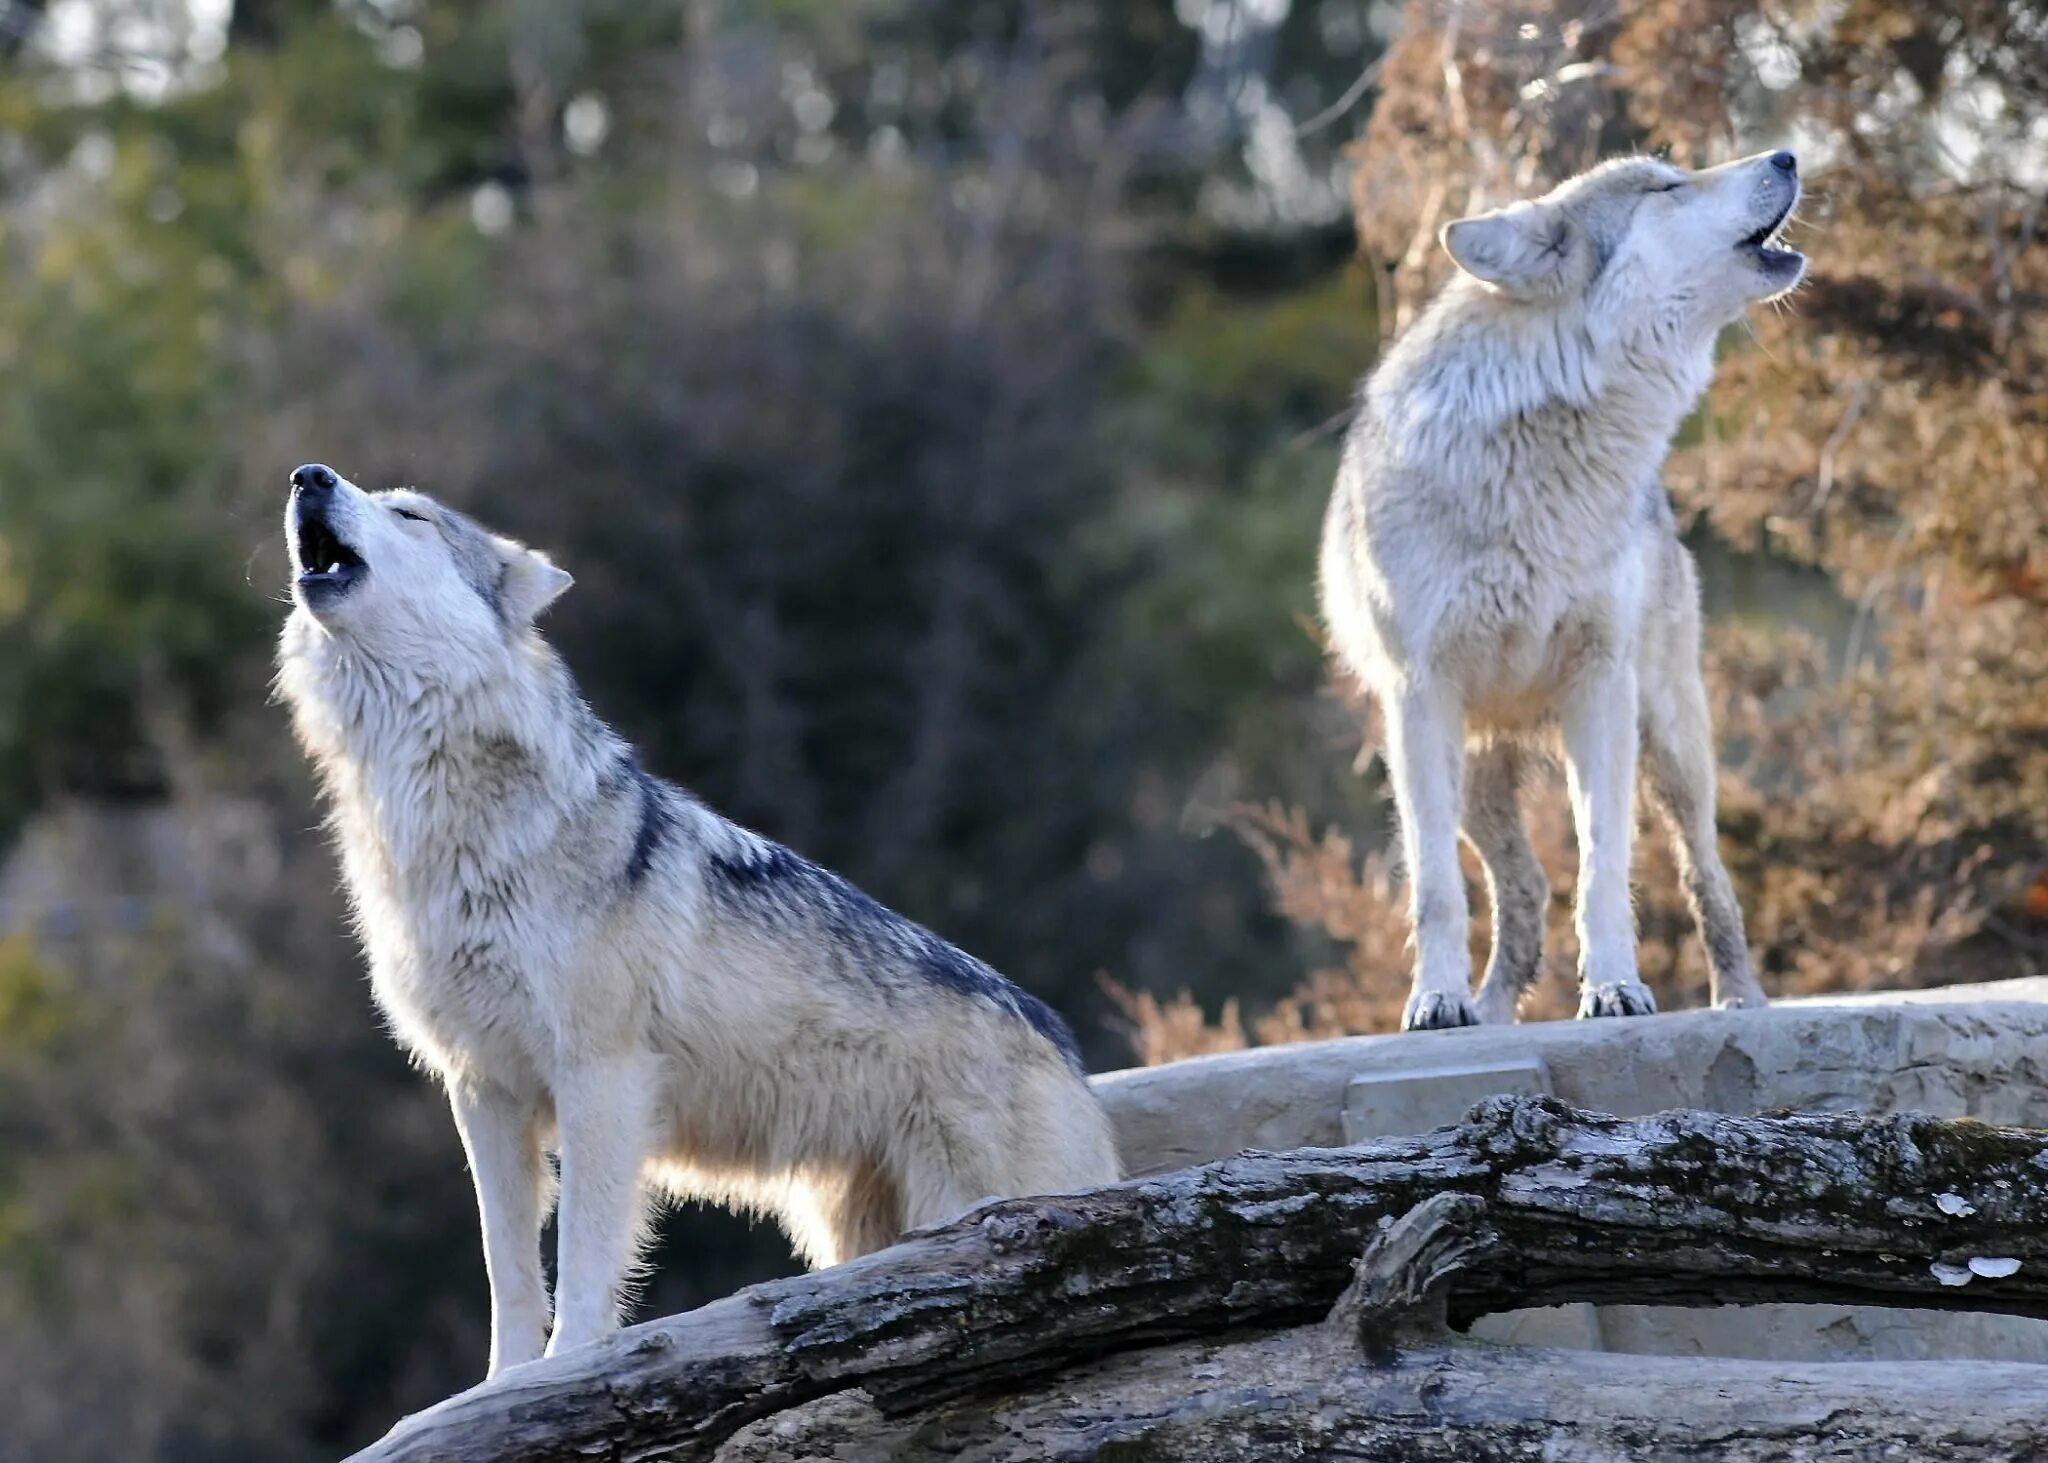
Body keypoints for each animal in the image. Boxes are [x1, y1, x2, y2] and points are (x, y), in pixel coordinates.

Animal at [276, 469, 1122, 1376]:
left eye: (410, 514)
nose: (309, 475)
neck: (437, 821)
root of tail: (1066, 1051)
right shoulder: (483, 1089)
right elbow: (507, 1268)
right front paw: (502, 1386)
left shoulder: (601, 1077)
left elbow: (582, 1257)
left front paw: (570, 1364)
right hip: (850, 1232)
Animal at [1318, 148, 1802, 1024]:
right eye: (1664, 188)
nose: (1787, 153)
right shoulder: (1420, 698)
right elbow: (1435, 887)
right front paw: (1435, 1000)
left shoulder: (1601, 686)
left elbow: (1605, 862)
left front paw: (1614, 986)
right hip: (1471, 779)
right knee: (1523, 892)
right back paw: (1483, 1010)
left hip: (1673, 744)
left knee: (1704, 872)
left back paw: (1739, 999)